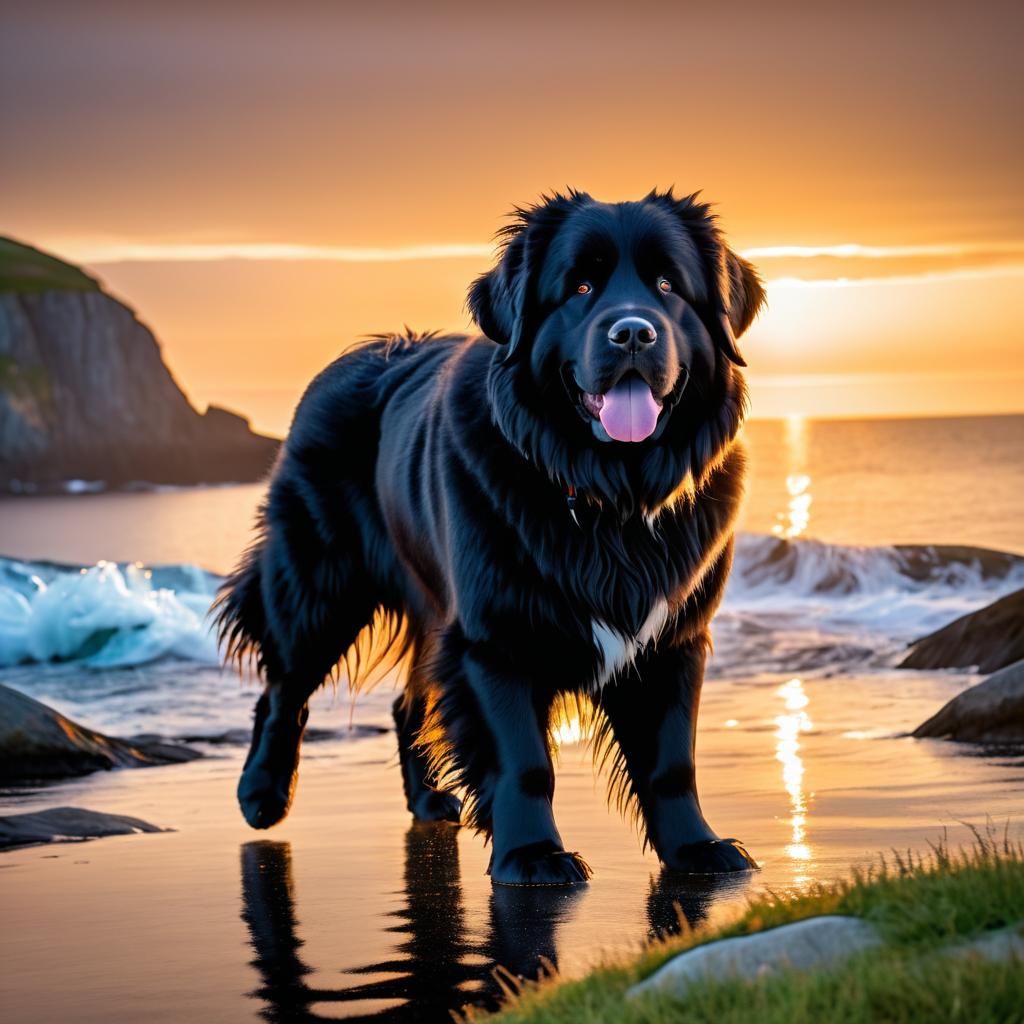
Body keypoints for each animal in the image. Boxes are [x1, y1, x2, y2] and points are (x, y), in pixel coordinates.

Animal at [216, 188, 765, 884]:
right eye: (580, 287)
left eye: (668, 285)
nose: (633, 331)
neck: (609, 493)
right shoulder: (494, 639)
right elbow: (523, 760)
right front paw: (532, 855)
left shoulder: (673, 638)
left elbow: (671, 761)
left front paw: (695, 847)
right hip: (319, 584)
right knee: (285, 687)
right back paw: (261, 794)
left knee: (407, 705)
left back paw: (426, 799)